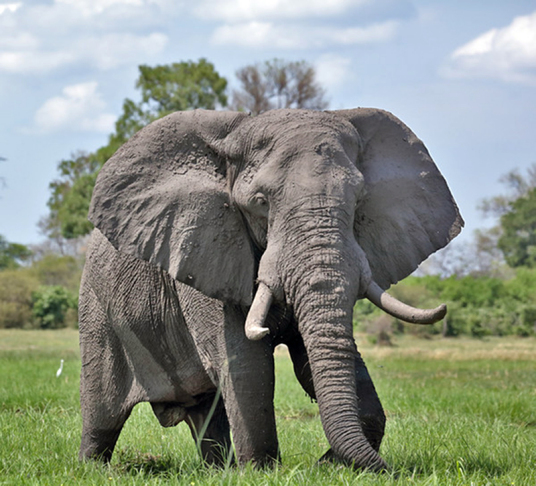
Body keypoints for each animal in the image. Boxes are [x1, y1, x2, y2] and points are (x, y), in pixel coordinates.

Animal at [77, 107, 462, 470]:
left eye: (359, 200)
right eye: (260, 202)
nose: (394, 471)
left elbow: (316, 360)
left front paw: (327, 464)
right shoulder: (201, 250)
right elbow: (246, 363)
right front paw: (262, 471)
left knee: (207, 416)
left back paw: (217, 470)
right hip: (96, 307)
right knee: (102, 412)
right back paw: (94, 468)